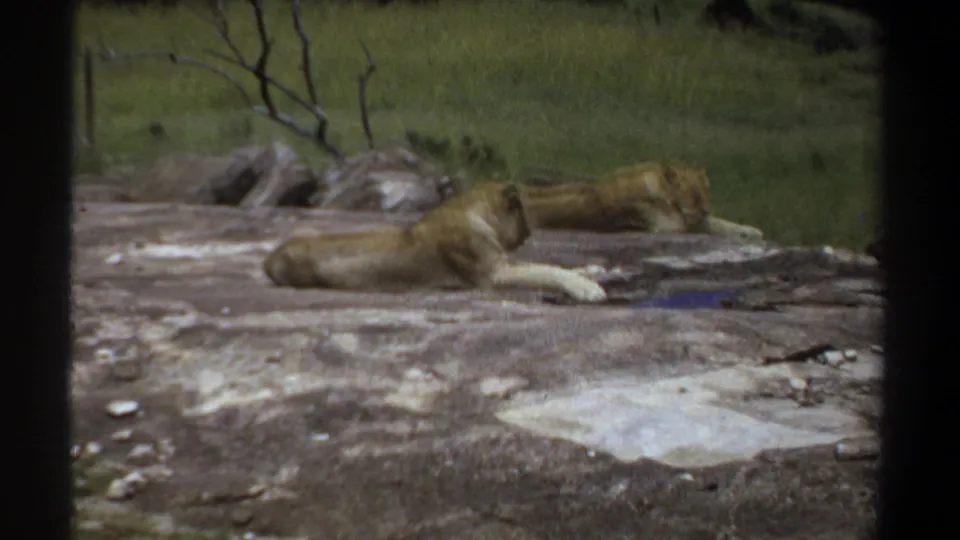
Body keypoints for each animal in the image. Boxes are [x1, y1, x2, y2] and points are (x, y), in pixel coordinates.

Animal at [263, 182, 608, 302]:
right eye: (523, 215)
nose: (527, 236)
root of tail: (269, 258)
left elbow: (553, 263)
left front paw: (592, 271)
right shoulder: (492, 274)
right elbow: (547, 269)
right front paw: (587, 289)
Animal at [520, 162, 763, 240]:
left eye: (706, 195)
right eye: (694, 196)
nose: (705, 209)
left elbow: (720, 222)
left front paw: (750, 230)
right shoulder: (665, 226)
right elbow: (709, 225)